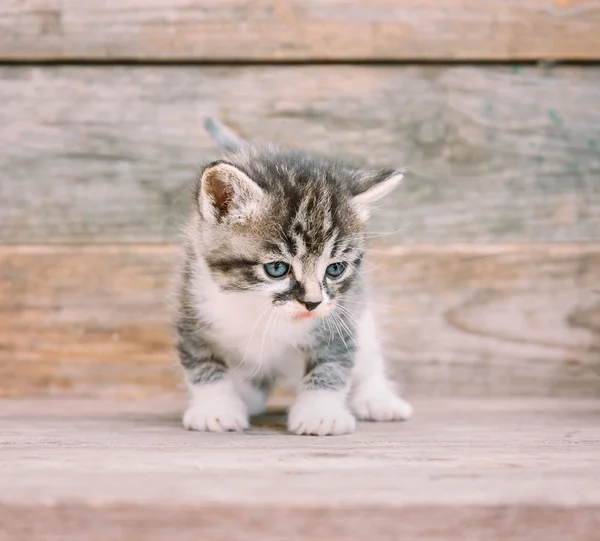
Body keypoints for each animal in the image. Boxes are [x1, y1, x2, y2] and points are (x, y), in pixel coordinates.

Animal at [176, 119, 412, 434]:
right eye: (277, 269)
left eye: (335, 268)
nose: (312, 303)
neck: (259, 309)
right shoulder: (193, 304)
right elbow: (203, 361)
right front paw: (215, 409)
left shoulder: (341, 315)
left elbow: (333, 362)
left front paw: (321, 412)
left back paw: (378, 400)